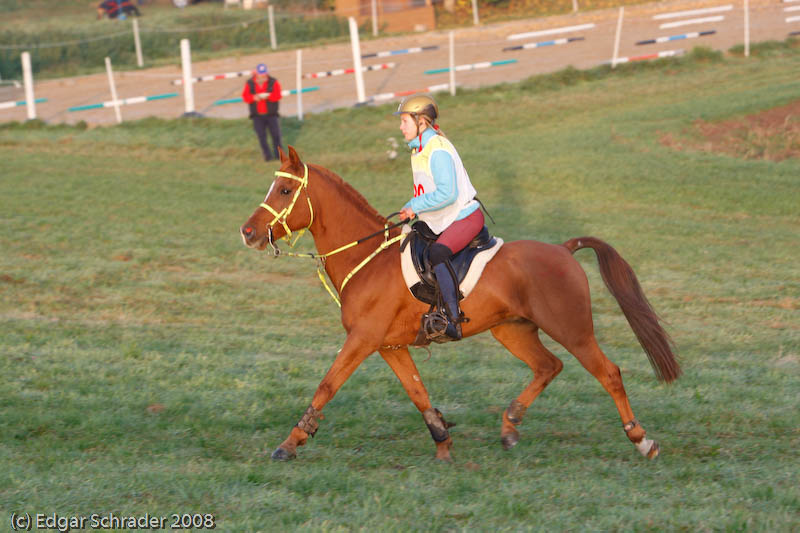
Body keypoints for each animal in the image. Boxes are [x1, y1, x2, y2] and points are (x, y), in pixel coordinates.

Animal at [241, 147, 680, 462]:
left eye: (284, 191)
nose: (248, 232)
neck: (367, 258)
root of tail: (563, 249)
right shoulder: (389, 346)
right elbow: (418, 393)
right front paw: (442, 442)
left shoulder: (363, 340)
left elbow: (327, 385)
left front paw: (291, 442)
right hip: (512, 330)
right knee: (548, 366)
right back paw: (510, 425)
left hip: (572, 329)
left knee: (609, 373)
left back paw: (642, 440)